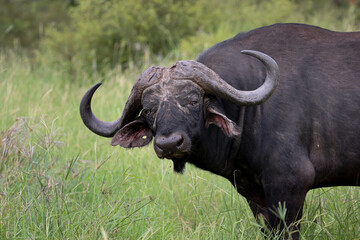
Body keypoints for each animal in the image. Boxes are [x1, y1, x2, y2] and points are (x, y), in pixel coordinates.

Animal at [81, 23, 360, 238]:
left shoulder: (290, 185)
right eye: (149, 110)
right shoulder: (255, 196)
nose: (169, 144)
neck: (251, 112)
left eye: (193, 101)